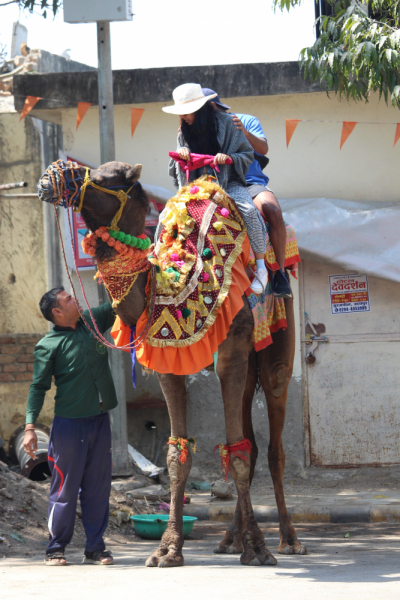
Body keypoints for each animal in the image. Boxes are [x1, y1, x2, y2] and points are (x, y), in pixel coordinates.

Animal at [38, 159, 306, 568]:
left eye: (103, 177)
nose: (49, 176)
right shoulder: (168, 362)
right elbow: (178, 455)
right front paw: (167, 550)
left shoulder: (231, 351)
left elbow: (238, 455)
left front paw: (258, 549)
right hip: (248, 369)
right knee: (252, 438)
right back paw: (230, 540)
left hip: (277, 341)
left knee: (274, 442)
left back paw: (287, 540)